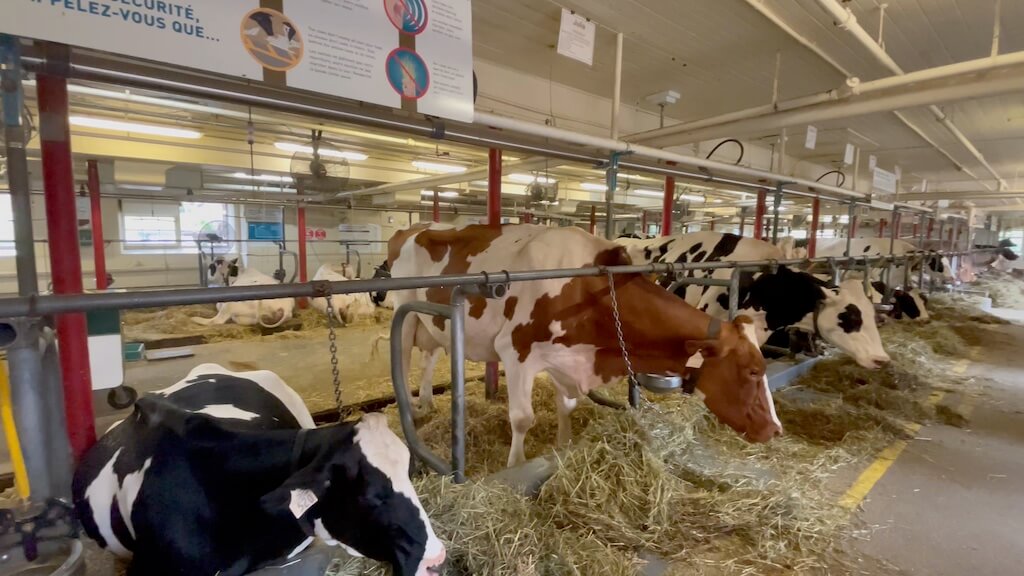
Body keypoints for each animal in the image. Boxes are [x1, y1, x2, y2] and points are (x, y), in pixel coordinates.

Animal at [387, 222, 778, 463]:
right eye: (752, 371)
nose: (775, 429)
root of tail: (415, 228)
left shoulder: (566, 356)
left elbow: (568, 406)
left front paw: (563, 445)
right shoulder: (515, 352)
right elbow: (522, 418)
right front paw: (515, 464)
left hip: (434, 325)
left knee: (429, 357)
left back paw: (427, 402)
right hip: (405, 312)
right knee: (403, 360)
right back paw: (413, 411)